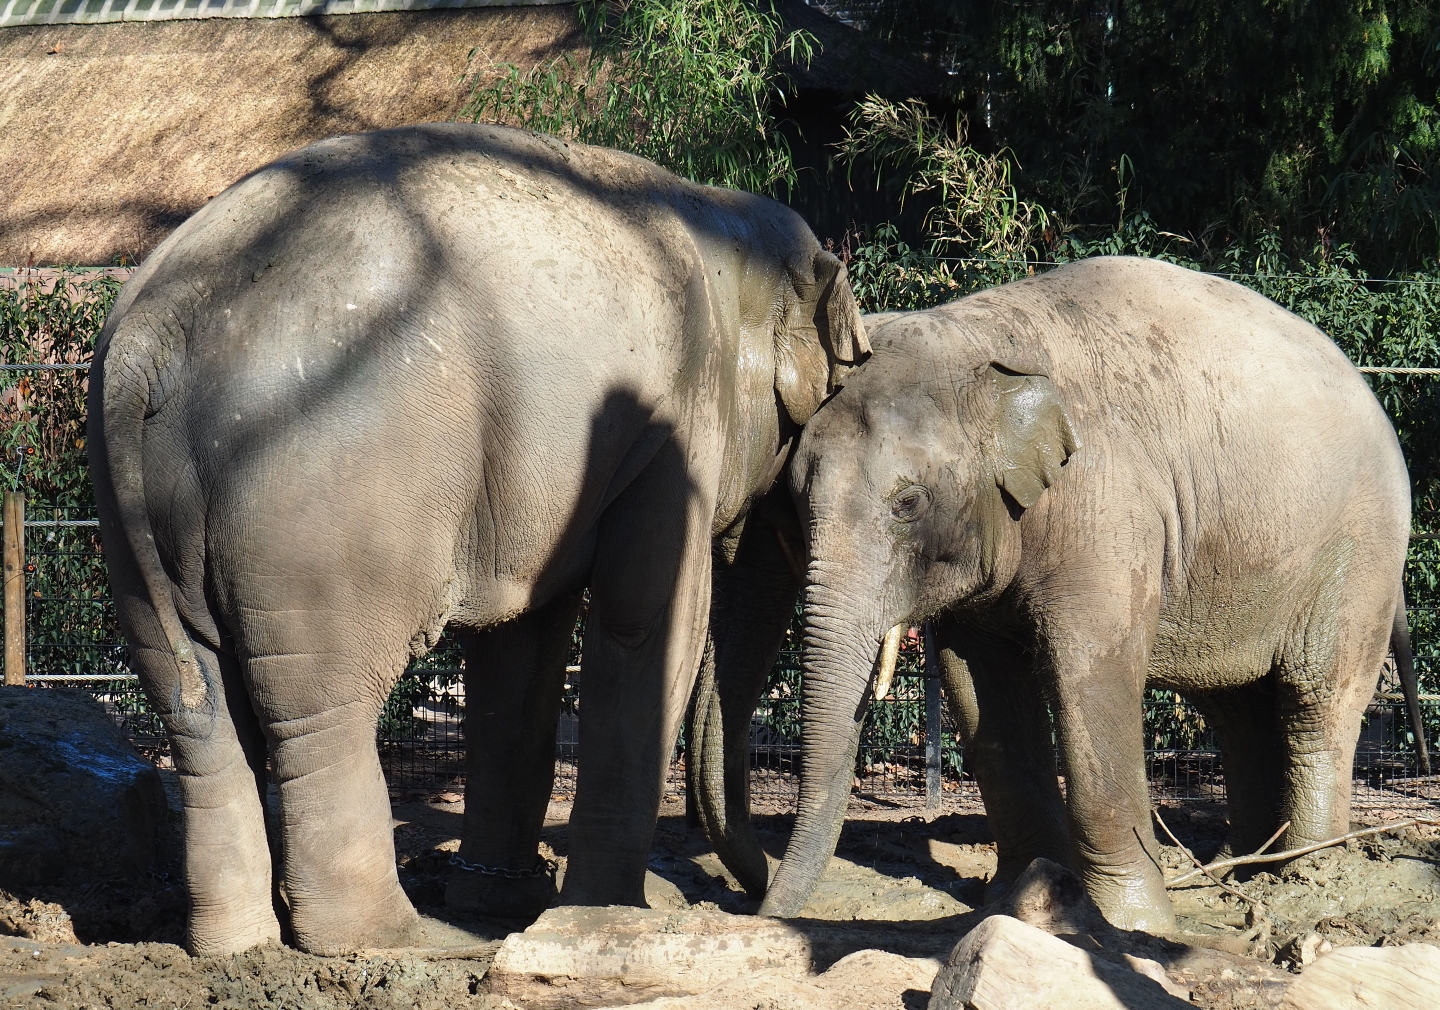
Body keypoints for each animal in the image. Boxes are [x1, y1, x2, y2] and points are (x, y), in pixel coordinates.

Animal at [88, 123, 867, 956]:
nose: (746, 898)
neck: (718, 213)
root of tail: (151, 333)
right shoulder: (674, 426)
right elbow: (646, 625)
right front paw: (610, 913)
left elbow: (521, 648)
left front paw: (503, 903)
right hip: (321, 507)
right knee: (322, 710)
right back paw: (391, 938)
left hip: (132, 516)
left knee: (196, 708)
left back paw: (239, 946)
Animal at [747, 256, 1423, 932]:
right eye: (792, 506)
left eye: (908, 504)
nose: (759, 910)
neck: (975, 338)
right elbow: (980, 685)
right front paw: (1025, 901)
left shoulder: (1108, 504)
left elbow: (1089, 674)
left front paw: (1133, 925)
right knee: (1235, 706)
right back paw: (1237, 871)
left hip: (1359, 551)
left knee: (1316, 698)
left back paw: (1304, 877)